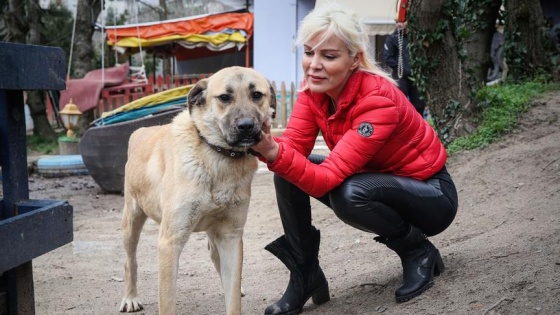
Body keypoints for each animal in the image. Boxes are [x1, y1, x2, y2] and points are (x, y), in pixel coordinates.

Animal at [118, 65, 276, 314]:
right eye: (225, 97)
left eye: (257, 95)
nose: (246, 126)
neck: (217, 157)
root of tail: (140, 130)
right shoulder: (170, 242)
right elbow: (167, 303)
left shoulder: (231, 236)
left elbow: (233, 296)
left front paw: (233, 291)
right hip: (131, 222)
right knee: (130, 261)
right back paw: (130, 297)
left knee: (216, 257)